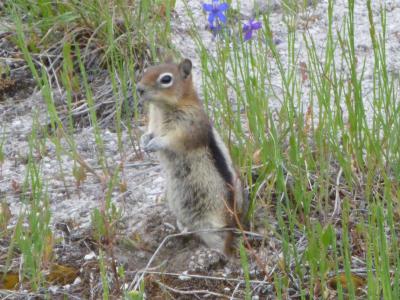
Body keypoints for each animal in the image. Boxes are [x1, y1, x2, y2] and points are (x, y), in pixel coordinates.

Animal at [136, 58, 245, 255]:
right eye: (146, 71)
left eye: (166, 79)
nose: (138, 88)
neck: (162, 108)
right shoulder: (153, 122)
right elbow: (149, 132)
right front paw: (144, 140)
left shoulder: (189, 125)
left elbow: (172, 140)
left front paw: (155, 143)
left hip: (213, 223)